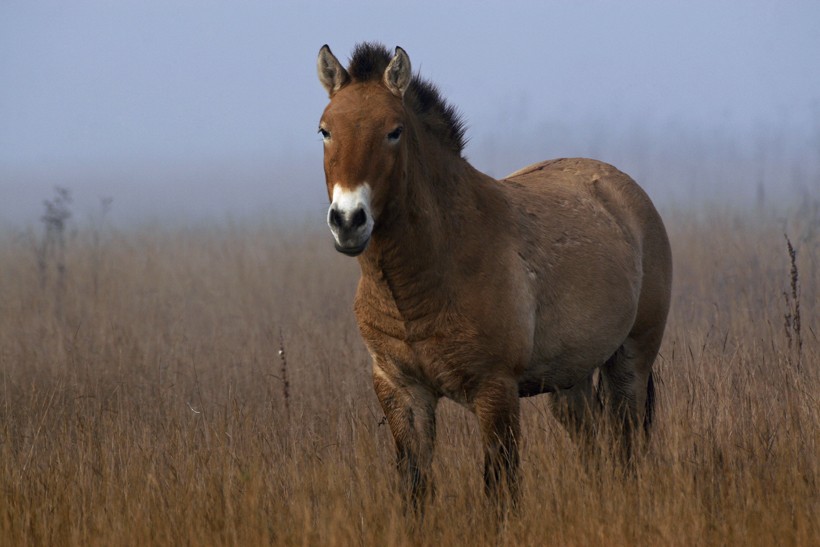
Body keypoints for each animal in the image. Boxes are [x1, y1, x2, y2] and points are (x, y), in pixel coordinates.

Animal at [316, 41, 672, 510]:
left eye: (394, 131)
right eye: (324, 131)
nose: (348, 220)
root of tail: (625, 190)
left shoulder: (495, 391)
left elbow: (500, 490)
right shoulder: (401, 391)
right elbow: (415, 487)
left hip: (631, 360)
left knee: (626, 445)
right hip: (570, 383)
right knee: (592, 444)